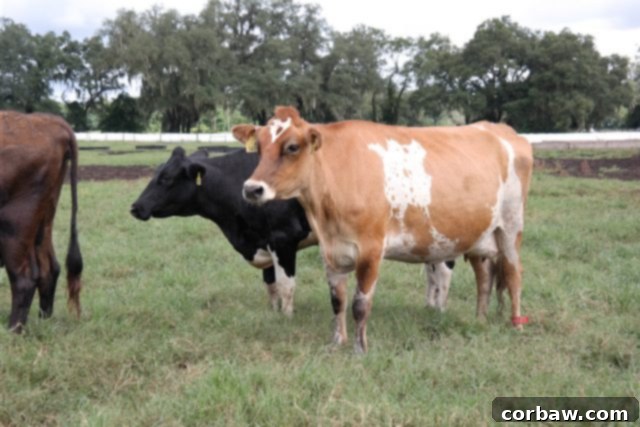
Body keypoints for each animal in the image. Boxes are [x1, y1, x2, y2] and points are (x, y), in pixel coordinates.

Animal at [0, 112, 83, 332]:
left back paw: (13, 330)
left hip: (14, 224)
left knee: (24, 278)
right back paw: (43, 320)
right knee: (49, 268)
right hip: (44, 220)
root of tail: (47, 121)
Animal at [130, 147, 456, 316]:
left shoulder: (282, 239)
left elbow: (286, 284)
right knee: (432, 271)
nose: (135, 207)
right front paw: (274, 313)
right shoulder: (263, 241)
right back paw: (429, 305)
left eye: (167, 178)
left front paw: (287, 317)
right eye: (156, 173)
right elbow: (270, 284)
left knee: (443, 271)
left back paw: (438, 311)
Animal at [234, 106, 533, 353]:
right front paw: (337, 342)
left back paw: (517, 325)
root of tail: (501, 129)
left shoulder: (370, 249)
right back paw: (480, 320)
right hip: (479, 235)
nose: (251, 189)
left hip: (510, 226)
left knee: (514, 274)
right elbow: (337, 300)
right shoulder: (330, 250)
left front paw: (360, 348)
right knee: (484, 277)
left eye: (292, 147)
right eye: (259, 147)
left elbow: (359, 304)